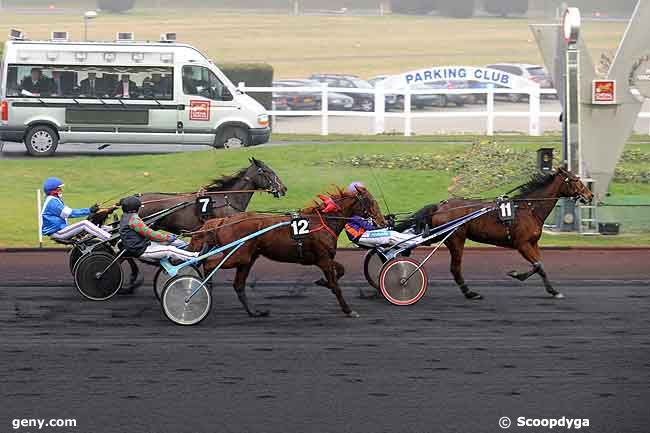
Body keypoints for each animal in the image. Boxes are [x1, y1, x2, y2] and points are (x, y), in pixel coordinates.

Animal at [186, 186, 384, 318]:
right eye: (372, 202)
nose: (382, 221)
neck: (323, 221)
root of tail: (223, 220)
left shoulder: (324, 258)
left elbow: (340, 270)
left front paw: (322, 282)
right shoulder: (323, 259)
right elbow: (336, 285)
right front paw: (348, 310)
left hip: (247, 259)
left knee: (238, 285)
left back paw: (254, 312)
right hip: (238, 255)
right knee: (208, 263)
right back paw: (202, 289)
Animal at [394, 167, 592, 298]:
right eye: (575, 180)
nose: (590, 195)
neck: (529, 209)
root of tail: (440, 206)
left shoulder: (533, 243)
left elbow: (540, 266)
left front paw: (552, 290)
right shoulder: (521, 244)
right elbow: (537, 266)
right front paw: (516, 274)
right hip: (456, 239)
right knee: (455, 268)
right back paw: (469, 292)